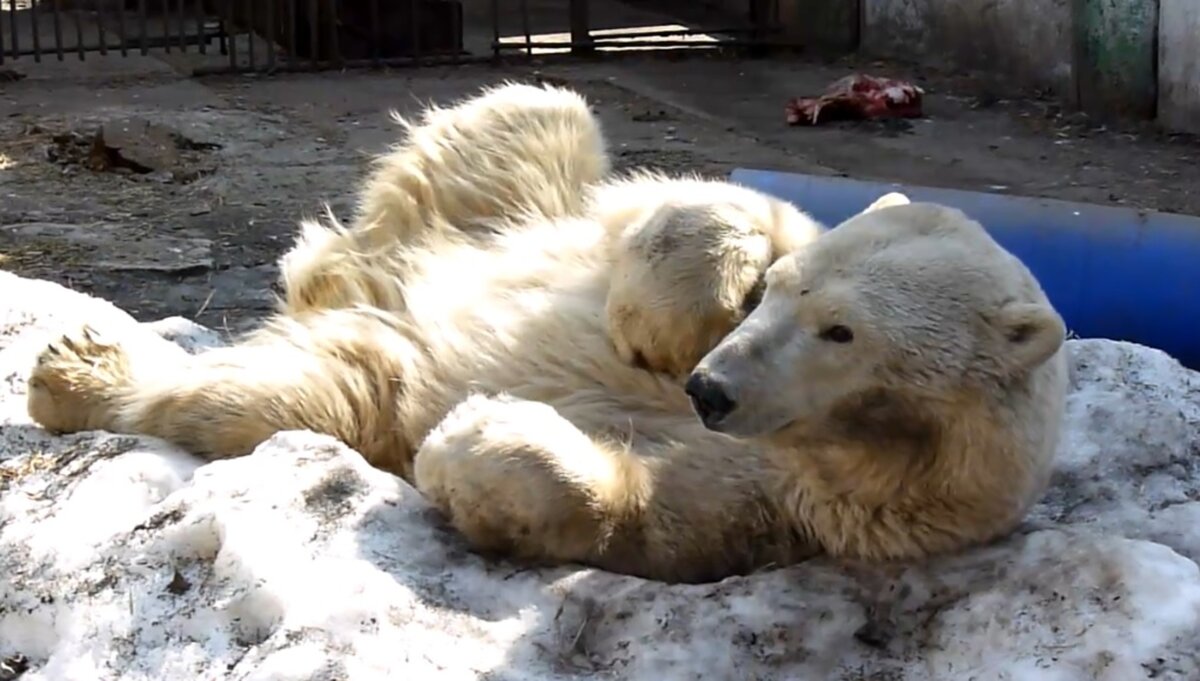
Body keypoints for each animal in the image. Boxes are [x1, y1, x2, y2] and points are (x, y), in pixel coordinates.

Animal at [23, 80, 1070, 580]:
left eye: (844, 335)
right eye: (786, 295)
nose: (709, 385)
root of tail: (366, 274)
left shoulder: (798, 508)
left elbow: (636, 510)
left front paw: (479, 438)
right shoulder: (770, 228)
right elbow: (723, 207)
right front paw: (658, 325)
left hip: (374, 355)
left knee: (299, 394)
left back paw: (80, 369)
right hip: (507, 188)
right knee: (539, 114)